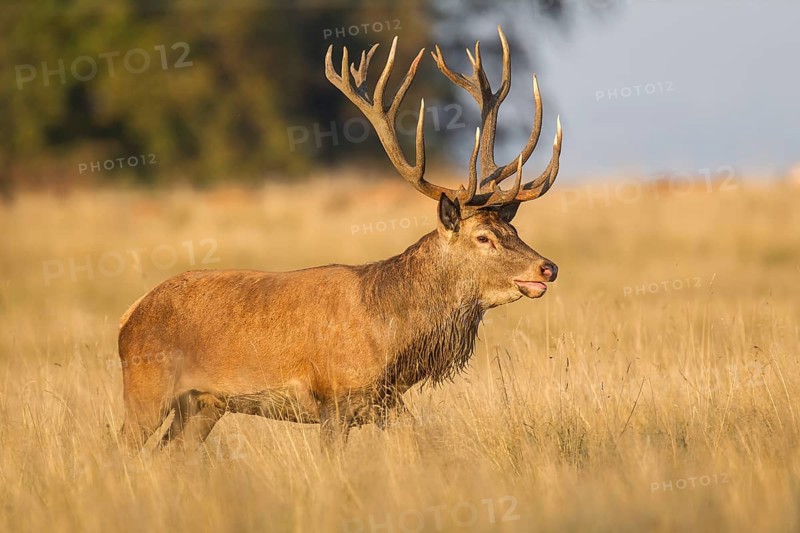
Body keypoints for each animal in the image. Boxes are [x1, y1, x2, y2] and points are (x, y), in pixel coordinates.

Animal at [117, 26, 562, 453]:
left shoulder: (385, 402)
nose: (548, 267)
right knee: (121, 447)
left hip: (204, 404)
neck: (391, 337)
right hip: (146, 385)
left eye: (514, 230)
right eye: (483, 237)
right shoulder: (334, 398)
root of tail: (128, 316)